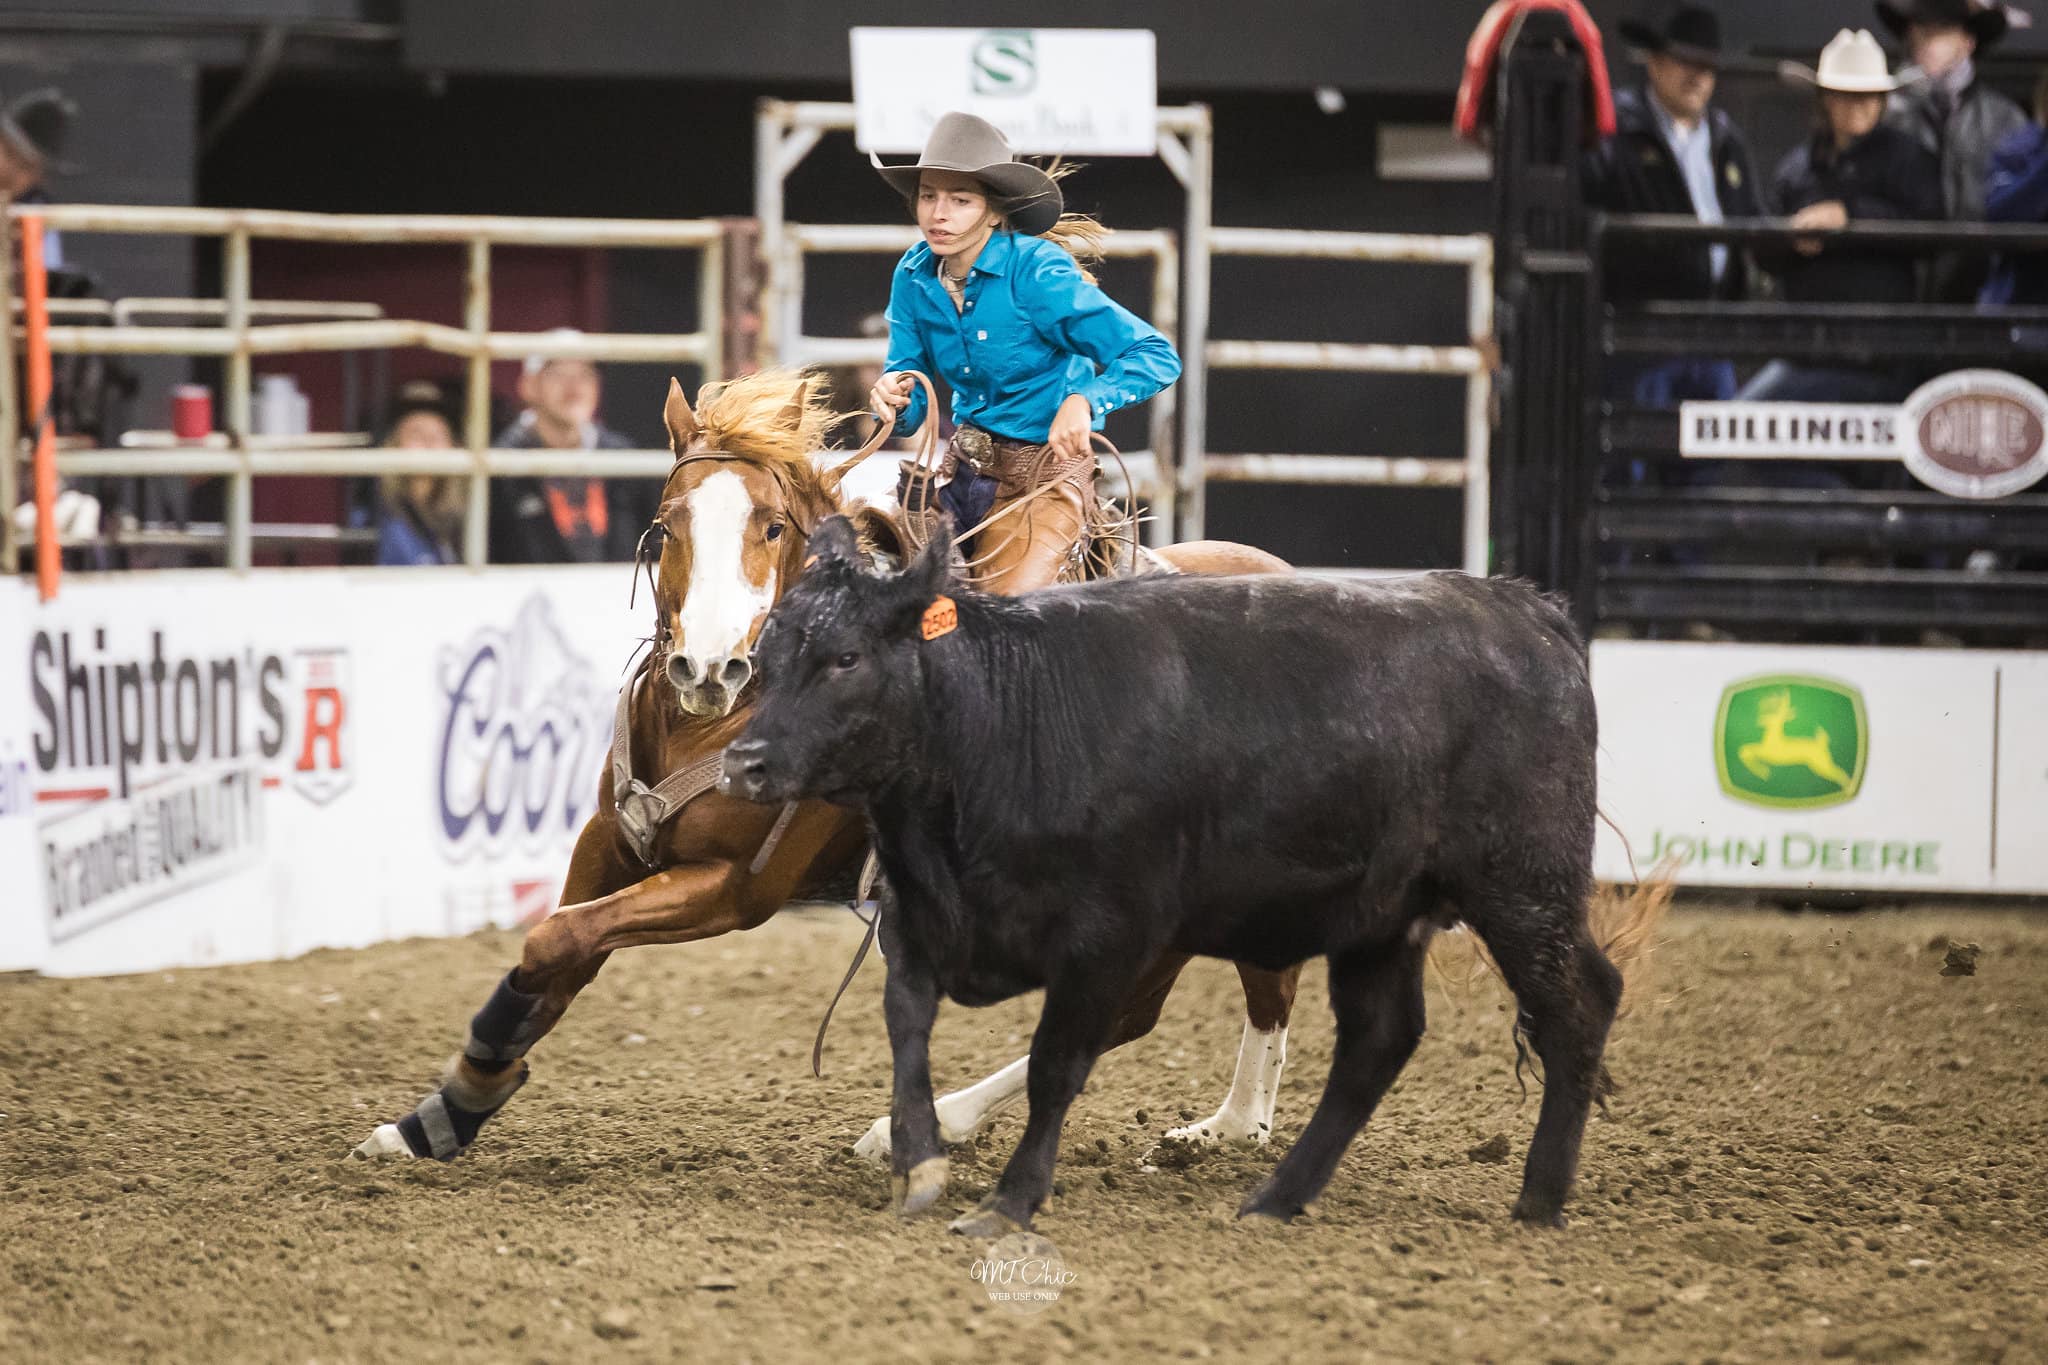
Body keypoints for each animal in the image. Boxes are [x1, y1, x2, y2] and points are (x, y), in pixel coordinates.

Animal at [354, 369, 1302, 1164]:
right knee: (1192, 998)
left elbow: (560, 938)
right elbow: (560, 954)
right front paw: (439, 1114)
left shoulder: (733, 883)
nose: (707, 667)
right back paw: (1228, 1125)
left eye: (772, 527)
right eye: (665, 526)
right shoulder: (610, 839)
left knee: (1155, 1002)